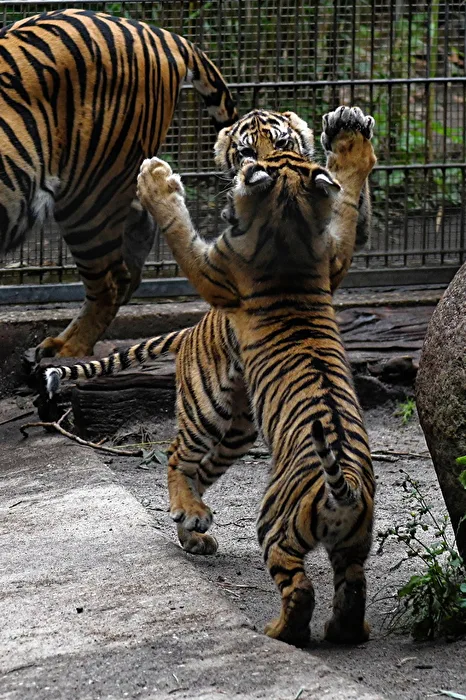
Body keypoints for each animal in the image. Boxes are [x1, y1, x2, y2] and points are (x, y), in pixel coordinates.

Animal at [45, 106, 376, 647]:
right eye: (244, 150)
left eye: (281, 142)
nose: (251, 169)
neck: (290, 225)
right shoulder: (334, 254)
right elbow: (347, 199)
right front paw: (347, 141)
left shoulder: (222, 268)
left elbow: (180, 232)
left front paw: (156, 180)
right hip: (231, 424)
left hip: (229, 435)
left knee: (182, 462)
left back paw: (272, 616)